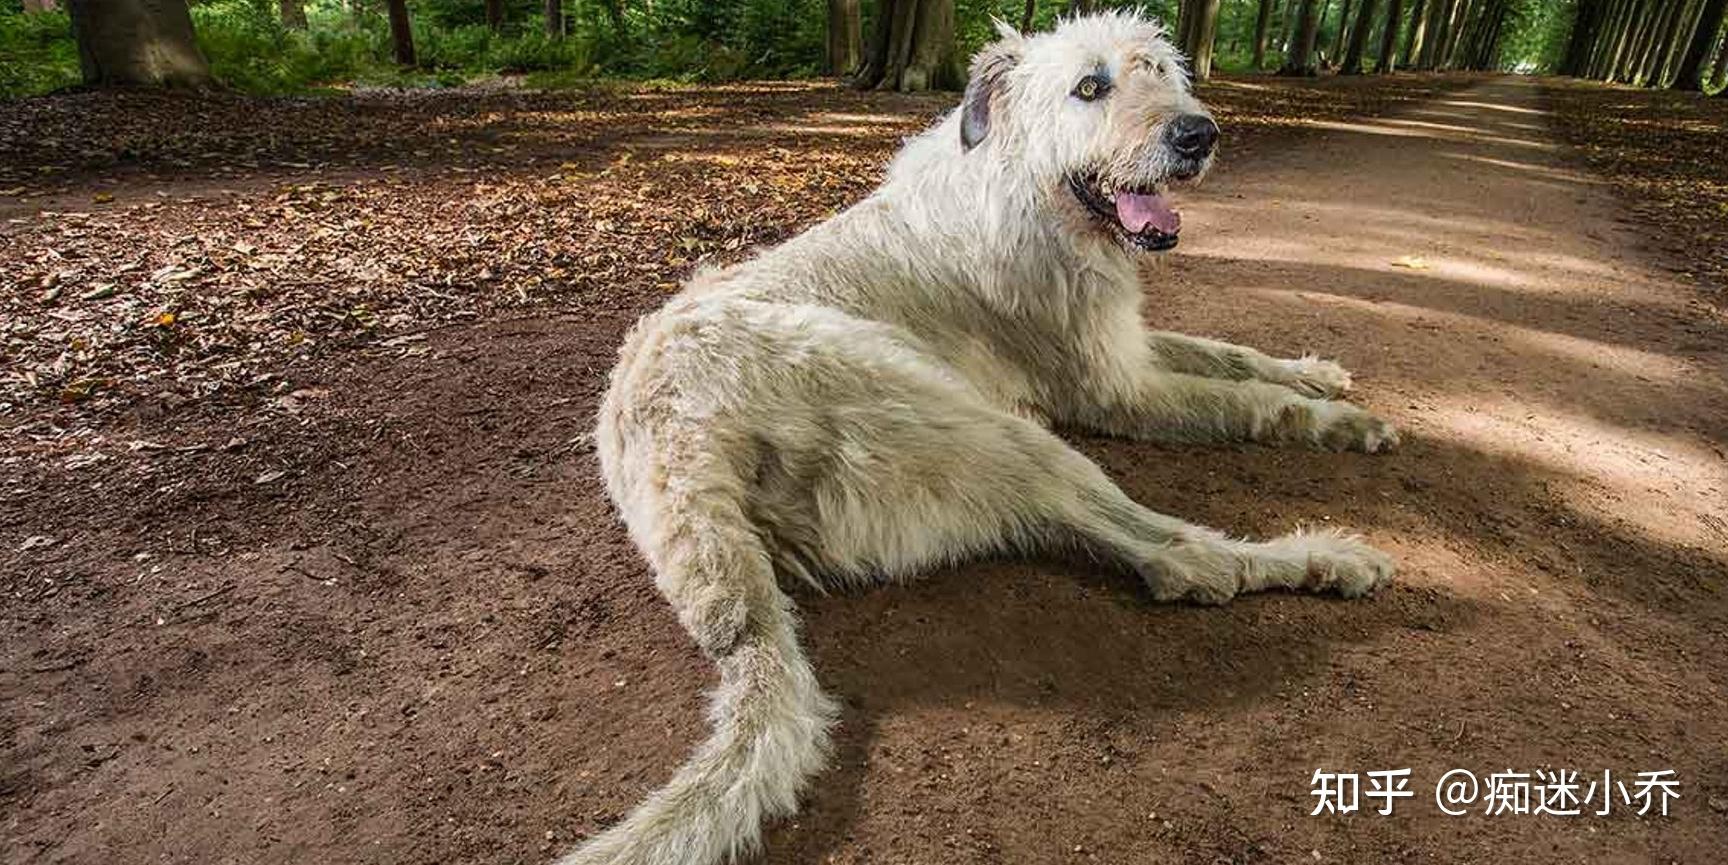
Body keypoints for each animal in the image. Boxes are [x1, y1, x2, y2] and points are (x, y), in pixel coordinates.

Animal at [573, 13, 1396, 863]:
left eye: (1160, 71)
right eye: (1090, 86)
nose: (1198, 133)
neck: (1026, 185)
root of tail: (679, 455)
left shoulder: (1124, 346)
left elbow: (1228, 355)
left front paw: (1313, 372)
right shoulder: (1116, 389)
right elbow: (1245, 402)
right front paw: (1339, 421)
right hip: (986, 427)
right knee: (1181, 558)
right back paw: (1324, 557)